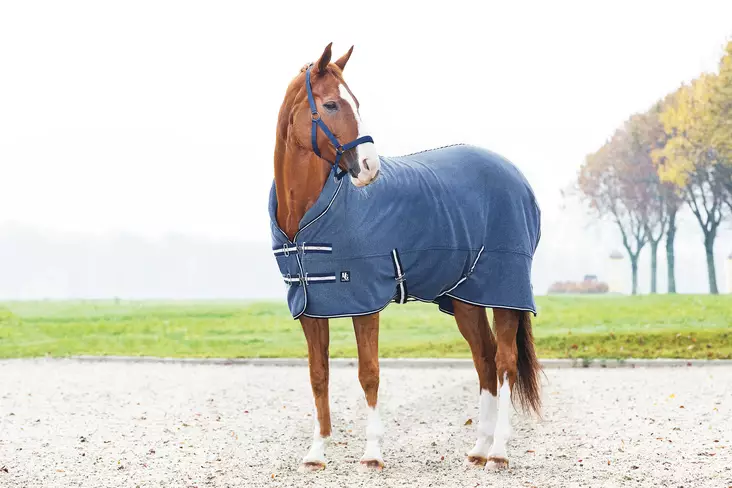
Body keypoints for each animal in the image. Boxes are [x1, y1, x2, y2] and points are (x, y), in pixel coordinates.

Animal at [269, 42, 542, 473]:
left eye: (356, 102)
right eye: (330, 104)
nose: (369, 167)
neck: (306, 217)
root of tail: (515, 175)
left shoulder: (365, 302)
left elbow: (369, 374)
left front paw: (372, 453)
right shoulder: (311, 306)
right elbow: (318, 375)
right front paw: (316, 453)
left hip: (505, 292)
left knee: (505, 363)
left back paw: (498, 451)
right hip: (466, 299)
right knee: (484, 359)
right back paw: (479, 448)